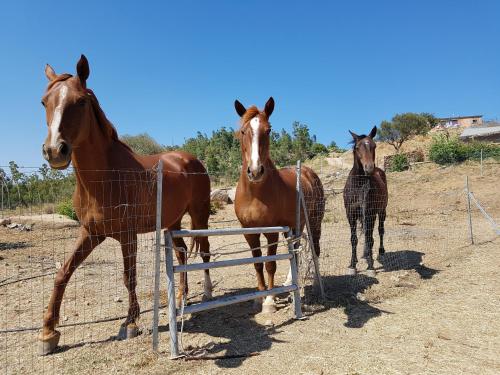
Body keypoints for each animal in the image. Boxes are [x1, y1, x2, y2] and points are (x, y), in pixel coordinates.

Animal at [37, 54, 213, 354]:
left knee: (204, 251)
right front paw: (48, 331)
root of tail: (191, 160)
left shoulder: (127, 236)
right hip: (173, 222)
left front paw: (130, 322)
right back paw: (180, 297)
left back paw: (208, 293)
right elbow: (63, 273)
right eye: (44, 101)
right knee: (180, 254)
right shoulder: (91, 233)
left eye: (80, 101)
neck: (106, 177)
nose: (54, 151)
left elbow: (128, 277)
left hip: (199, 216)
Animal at [233, 97, 326, 314]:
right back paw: (289, 283)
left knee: (313, 249)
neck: (255, 194)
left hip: (313, 222)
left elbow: (270, 265)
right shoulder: (249, 232)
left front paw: (269, 301)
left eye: (268, 130)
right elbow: (257, 264)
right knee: (295, 250)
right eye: (243, 131)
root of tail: (309, 173)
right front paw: (259, 297)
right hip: (295, 225)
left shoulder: (272, 232)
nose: (255, 171)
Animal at [344, 128, 390, 278]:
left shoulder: (370, 214)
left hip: (381, 212)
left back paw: (380, 251)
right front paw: (352, 265)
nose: (369, 168)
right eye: (357, 147)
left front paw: (370, 267)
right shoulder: (351, 215)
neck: (359, 186)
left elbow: (369, 238)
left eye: (374, 146)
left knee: (380, 231)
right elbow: (354, 239)